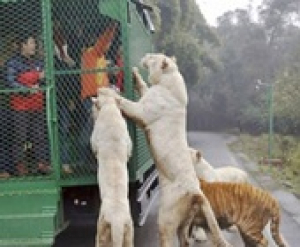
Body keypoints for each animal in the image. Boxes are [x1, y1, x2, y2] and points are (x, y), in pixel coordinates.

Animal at [90, 91, 134, 246]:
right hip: (129, 233)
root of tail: (117, 221)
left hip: (100, 231)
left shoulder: (94, 140)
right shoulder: (128, 143)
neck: (109, 108)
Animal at [98, 52, 232, 247]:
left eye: (153, 57)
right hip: (184, 223)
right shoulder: (148, 95)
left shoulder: (142, 111)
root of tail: (196, 193)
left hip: (166, 220)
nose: (146, 55)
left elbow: (126, 103)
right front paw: (135, 75)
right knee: (185, 240)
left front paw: (110, 93)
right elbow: (144, 86)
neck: (167, 79)